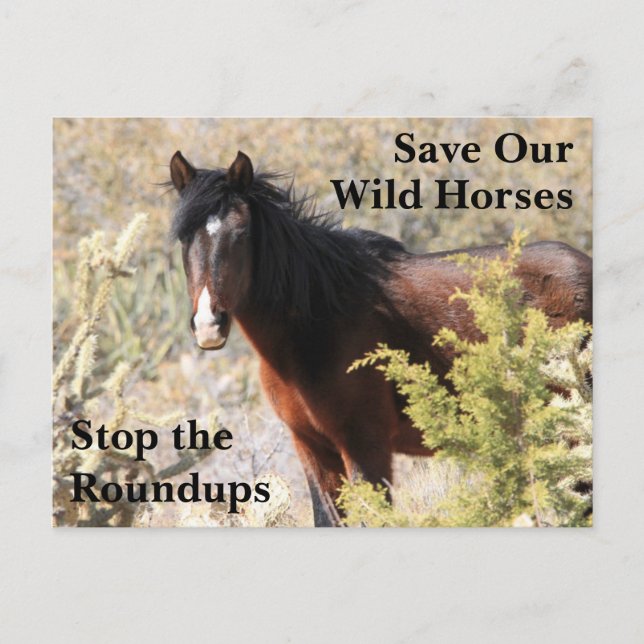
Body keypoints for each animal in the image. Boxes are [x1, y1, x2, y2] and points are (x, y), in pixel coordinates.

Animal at [168, 149, 592, 527]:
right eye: (183, 238)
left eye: (241, 233)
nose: (209, 324)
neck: (317, 320)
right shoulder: (312, 449)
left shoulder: (365, 447)